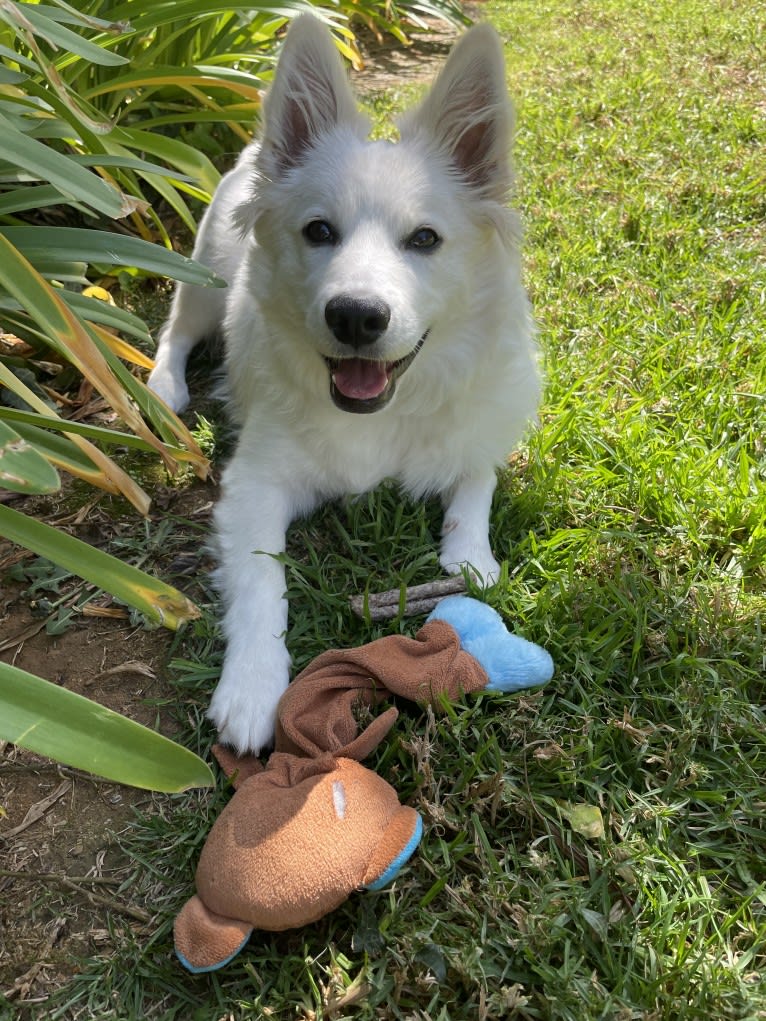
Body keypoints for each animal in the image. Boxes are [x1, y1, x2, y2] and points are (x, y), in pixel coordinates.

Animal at [148, 11, 539, 755]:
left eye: (425, 239)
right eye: (319, 230)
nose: (356, 315)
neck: (380, 415)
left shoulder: (479, 427)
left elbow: (473, 489)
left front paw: (471, 556)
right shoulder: (254, 486)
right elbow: (261, 580)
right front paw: (252, 688)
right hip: (203, 280)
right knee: (174, 333)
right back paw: (161, 391)